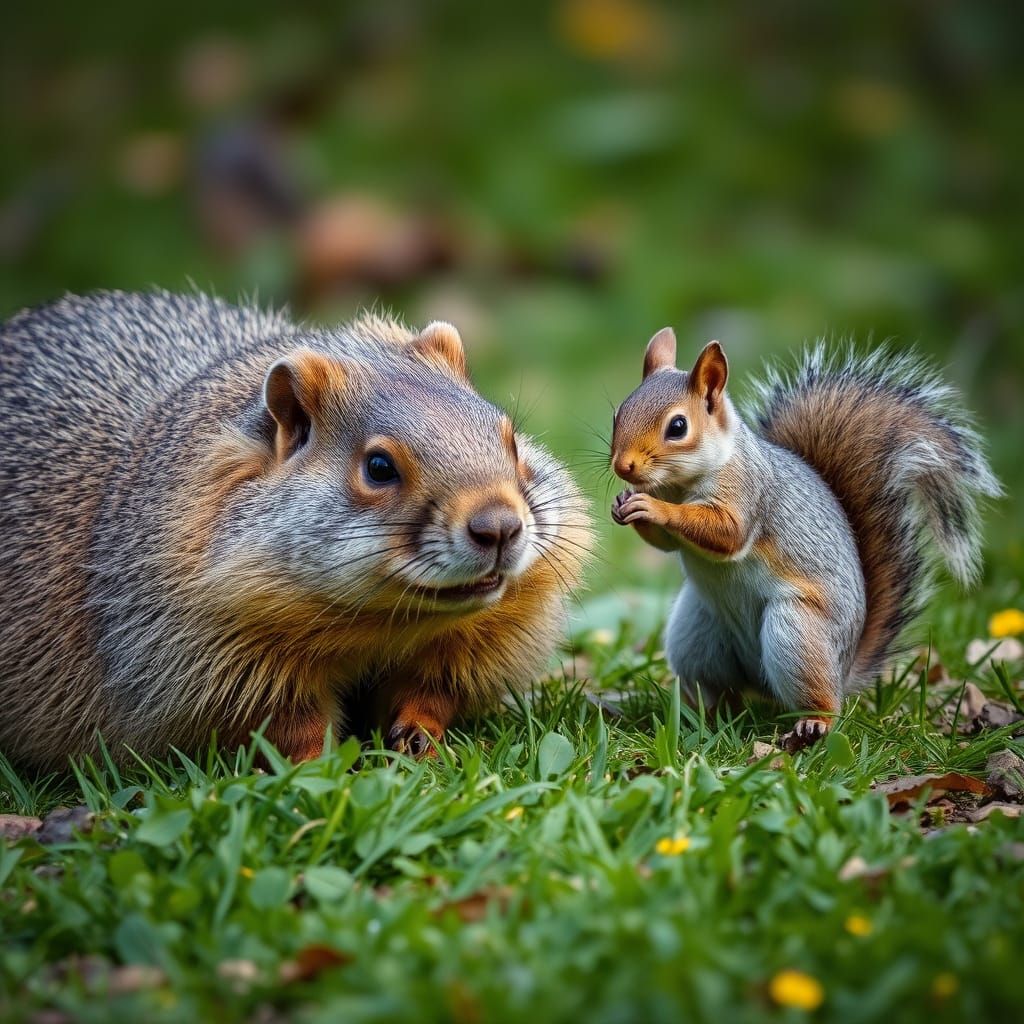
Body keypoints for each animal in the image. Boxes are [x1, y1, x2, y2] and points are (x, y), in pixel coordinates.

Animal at [0, 290, 591, 770]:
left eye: (510, 439)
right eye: (379, 467)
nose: (499, 526)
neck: (387, 623)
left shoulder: (492, 628)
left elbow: (440, 681)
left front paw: (418, 735)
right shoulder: (208, 637)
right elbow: (280, 715)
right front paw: (319, 765)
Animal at [610, 328, 1000, 750]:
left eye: (678, 427)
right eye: (618, 413)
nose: (623, 467)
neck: (681, 483)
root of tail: (844, 668)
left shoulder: (747, 494)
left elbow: (727, 533)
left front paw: (652, 507)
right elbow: (666, 544)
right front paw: (624, 505)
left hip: (797, 633)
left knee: (822, 699)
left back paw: (813, 723)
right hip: (695, 633)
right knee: (722, 690)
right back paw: (699, 716)